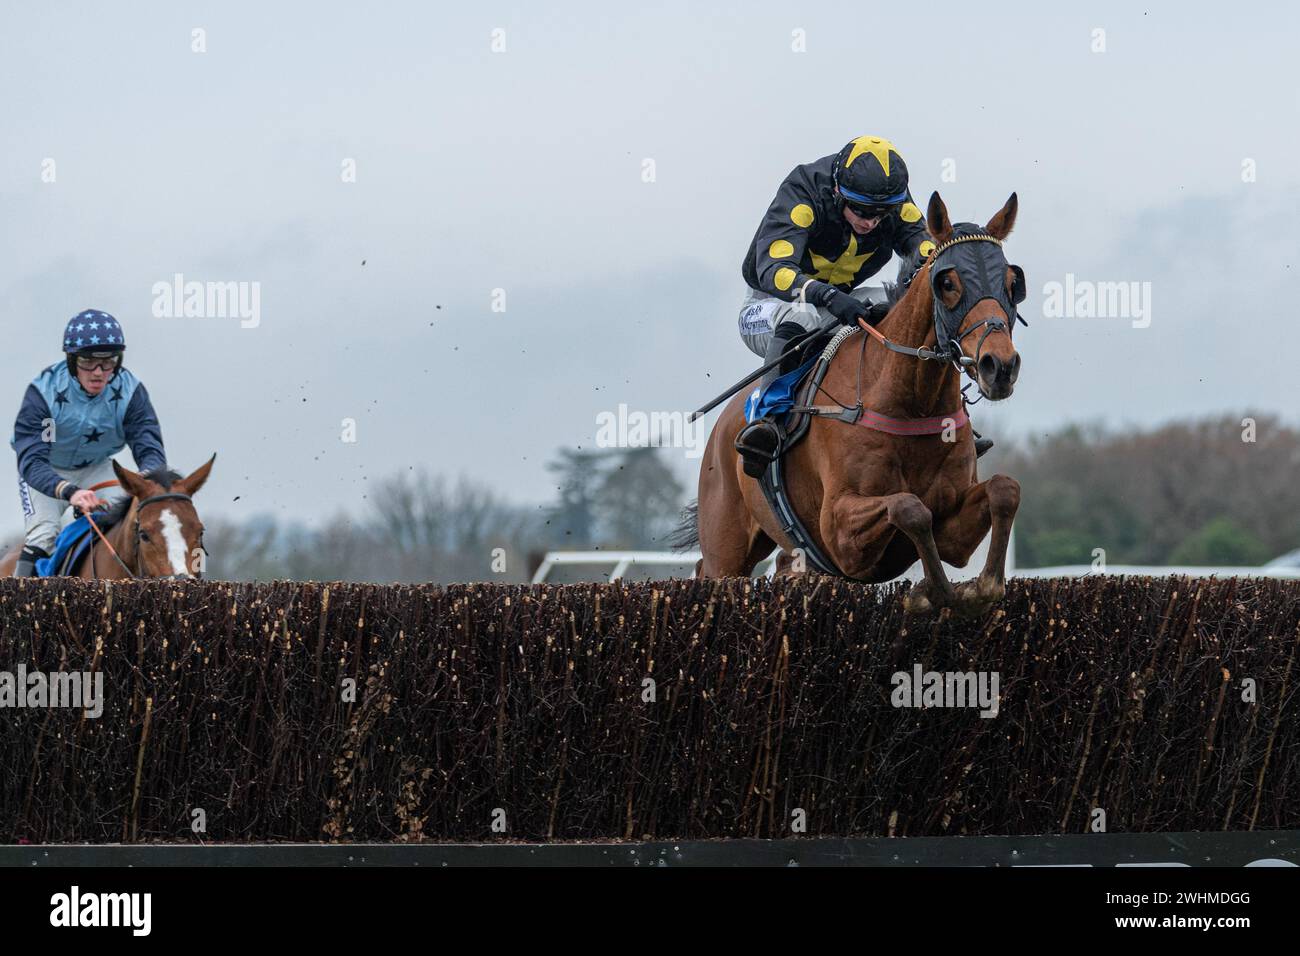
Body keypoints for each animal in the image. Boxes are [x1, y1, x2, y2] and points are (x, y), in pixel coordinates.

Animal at [681, 191, 1024, 616]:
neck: (912, 403)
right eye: (947, 282)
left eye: (1012, 282)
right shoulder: (839, 532)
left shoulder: (952, 530)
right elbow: (910, 507)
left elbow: (1004, 490)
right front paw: (933, 592)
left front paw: (980, 587)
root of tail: (723, 427)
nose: (1000, 366)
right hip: (725, 548)